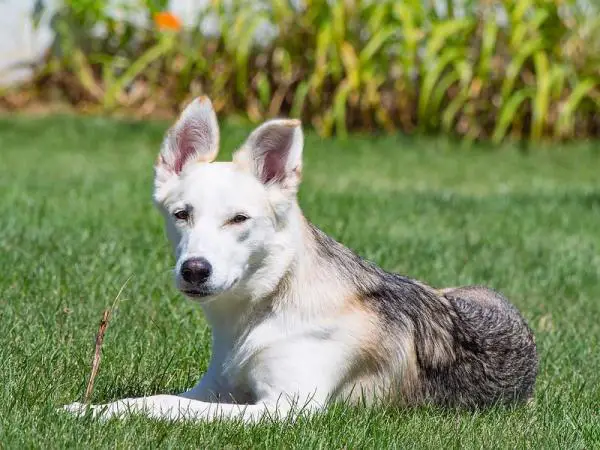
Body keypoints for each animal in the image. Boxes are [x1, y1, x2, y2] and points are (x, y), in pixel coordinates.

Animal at [63, 97, 536, 422]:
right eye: (182, 214)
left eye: (239, 219)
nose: (194, 270)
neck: (265, 305)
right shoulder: (212, 388)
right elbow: (154, 400)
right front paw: (95, 408)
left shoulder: (284, 409)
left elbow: (174, 411)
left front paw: (94, 414)